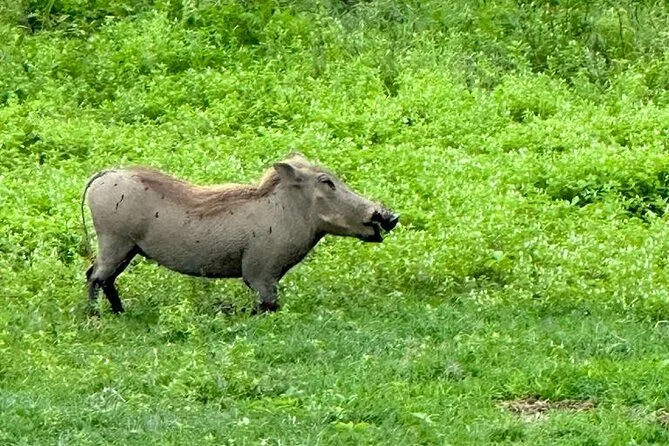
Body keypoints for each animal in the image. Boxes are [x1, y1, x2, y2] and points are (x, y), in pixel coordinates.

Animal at [81, 153, 399, 314]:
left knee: (103, 278)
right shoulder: (261, 274)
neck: (285, 211)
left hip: (127, 249)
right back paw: (98, 318)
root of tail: (104, 175)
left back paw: (120, 312)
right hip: (114, 242)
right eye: (327, 182)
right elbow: (268, 306)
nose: (391, 217)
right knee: (96, 276)